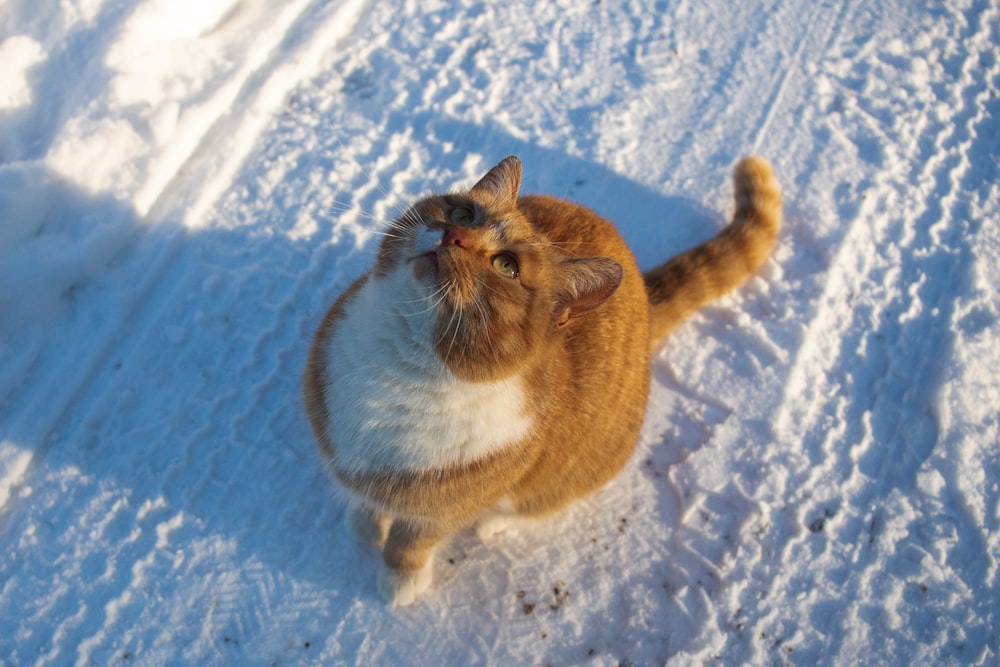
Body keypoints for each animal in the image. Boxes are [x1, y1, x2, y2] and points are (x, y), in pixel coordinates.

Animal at [304, 154, 780, 608]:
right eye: (461, 213)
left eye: (506, 266)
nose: (452, 236)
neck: (403, 362)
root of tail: (643, 295)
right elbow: (367, 500)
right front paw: (365, 521)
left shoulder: (443, 509)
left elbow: (412, 542)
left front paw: (400, 576)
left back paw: (495, 522)